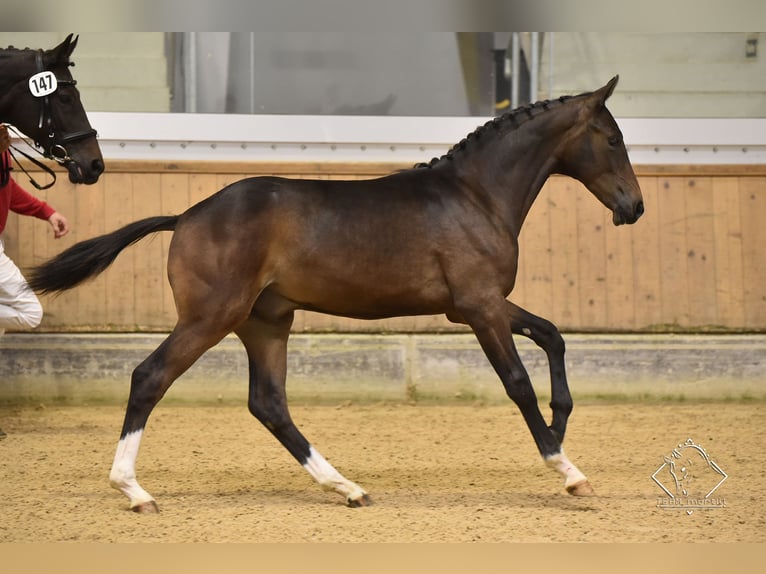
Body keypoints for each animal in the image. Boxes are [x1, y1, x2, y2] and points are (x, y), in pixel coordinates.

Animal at [28, 75, 640, 512]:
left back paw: (347, 487)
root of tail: (186, 216)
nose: (633, 207)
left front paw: (560, 427)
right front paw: (567, 469)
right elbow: (517, 383)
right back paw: (134, 491)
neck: (474, 195)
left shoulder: (473, 306)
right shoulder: (480, 308)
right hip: (211, 317)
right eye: (612, 140)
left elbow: (553, 336)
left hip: (266, 322)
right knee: (150, 377)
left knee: (268, 402)